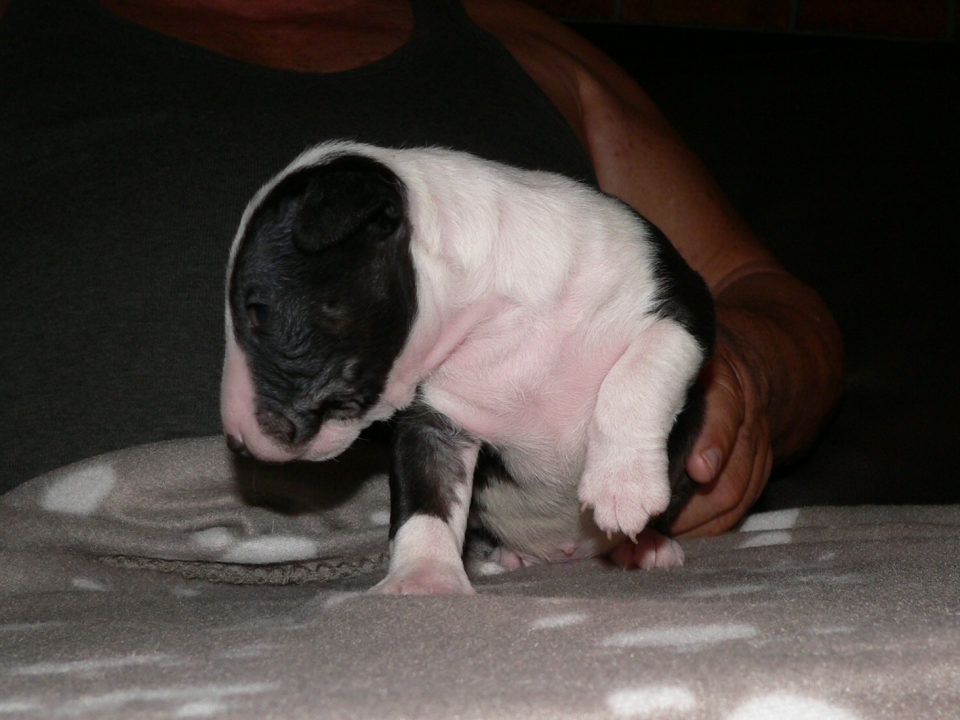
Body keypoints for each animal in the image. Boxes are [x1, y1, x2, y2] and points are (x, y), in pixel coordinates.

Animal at [221, 141, 715, 594]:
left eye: (259, 310)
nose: (235, 442)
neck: (496, 312)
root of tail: (565, 551)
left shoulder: (684, 317)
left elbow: (636, 373)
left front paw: (622, 485)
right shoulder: (436, 418)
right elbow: (427, 495)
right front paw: (422, 578)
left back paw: (645, 546)